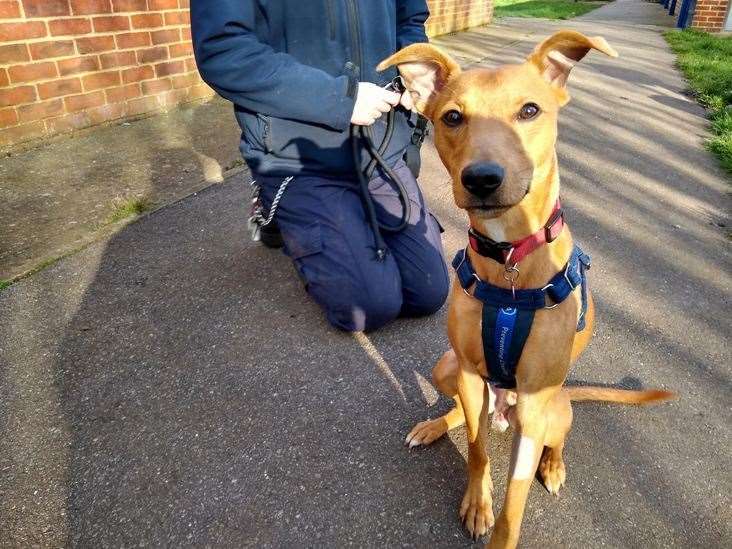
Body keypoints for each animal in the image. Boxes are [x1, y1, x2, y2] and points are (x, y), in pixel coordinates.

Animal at [380, 31, 672, 548]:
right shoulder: (470, 375)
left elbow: (515, 502)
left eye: (530, 110)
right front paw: (478, 502)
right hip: (447, 368)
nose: (481, 178)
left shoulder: (535, 405)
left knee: (558, 439)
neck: (510, 258)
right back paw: (436, 425)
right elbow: (477, 450)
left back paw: (553, 467)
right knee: (464, 415)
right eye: (452, 117)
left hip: (555, 408)